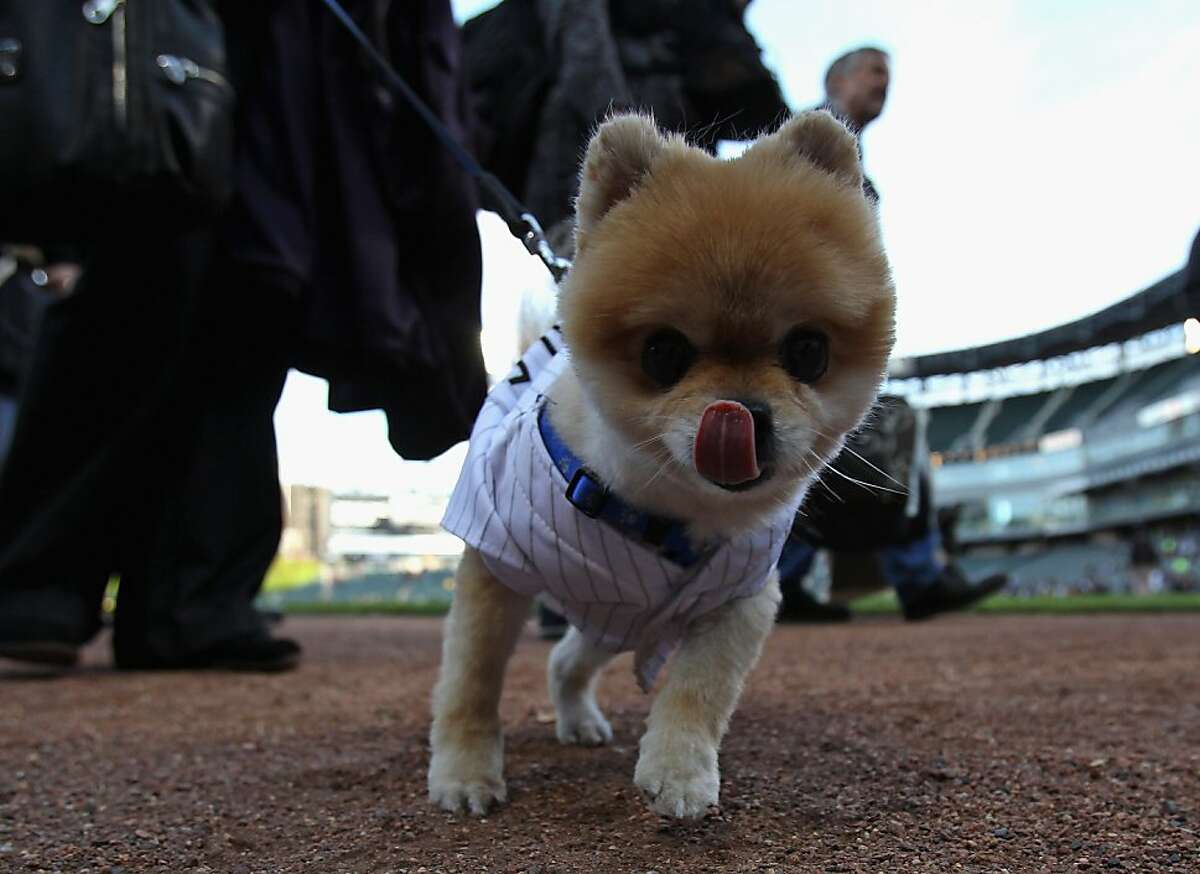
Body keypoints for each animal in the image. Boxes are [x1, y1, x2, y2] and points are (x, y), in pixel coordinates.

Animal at [429, 109, 892, 821]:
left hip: (611, 619)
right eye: (663, 353)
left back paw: (579, 721)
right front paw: (465, 771)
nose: (743, 414)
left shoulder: (738, 598)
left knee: (565, 662)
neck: (663, 511)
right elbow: (472, 679)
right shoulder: (494, 560)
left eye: (808, 351)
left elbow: (699, 691)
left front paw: (680, 772)